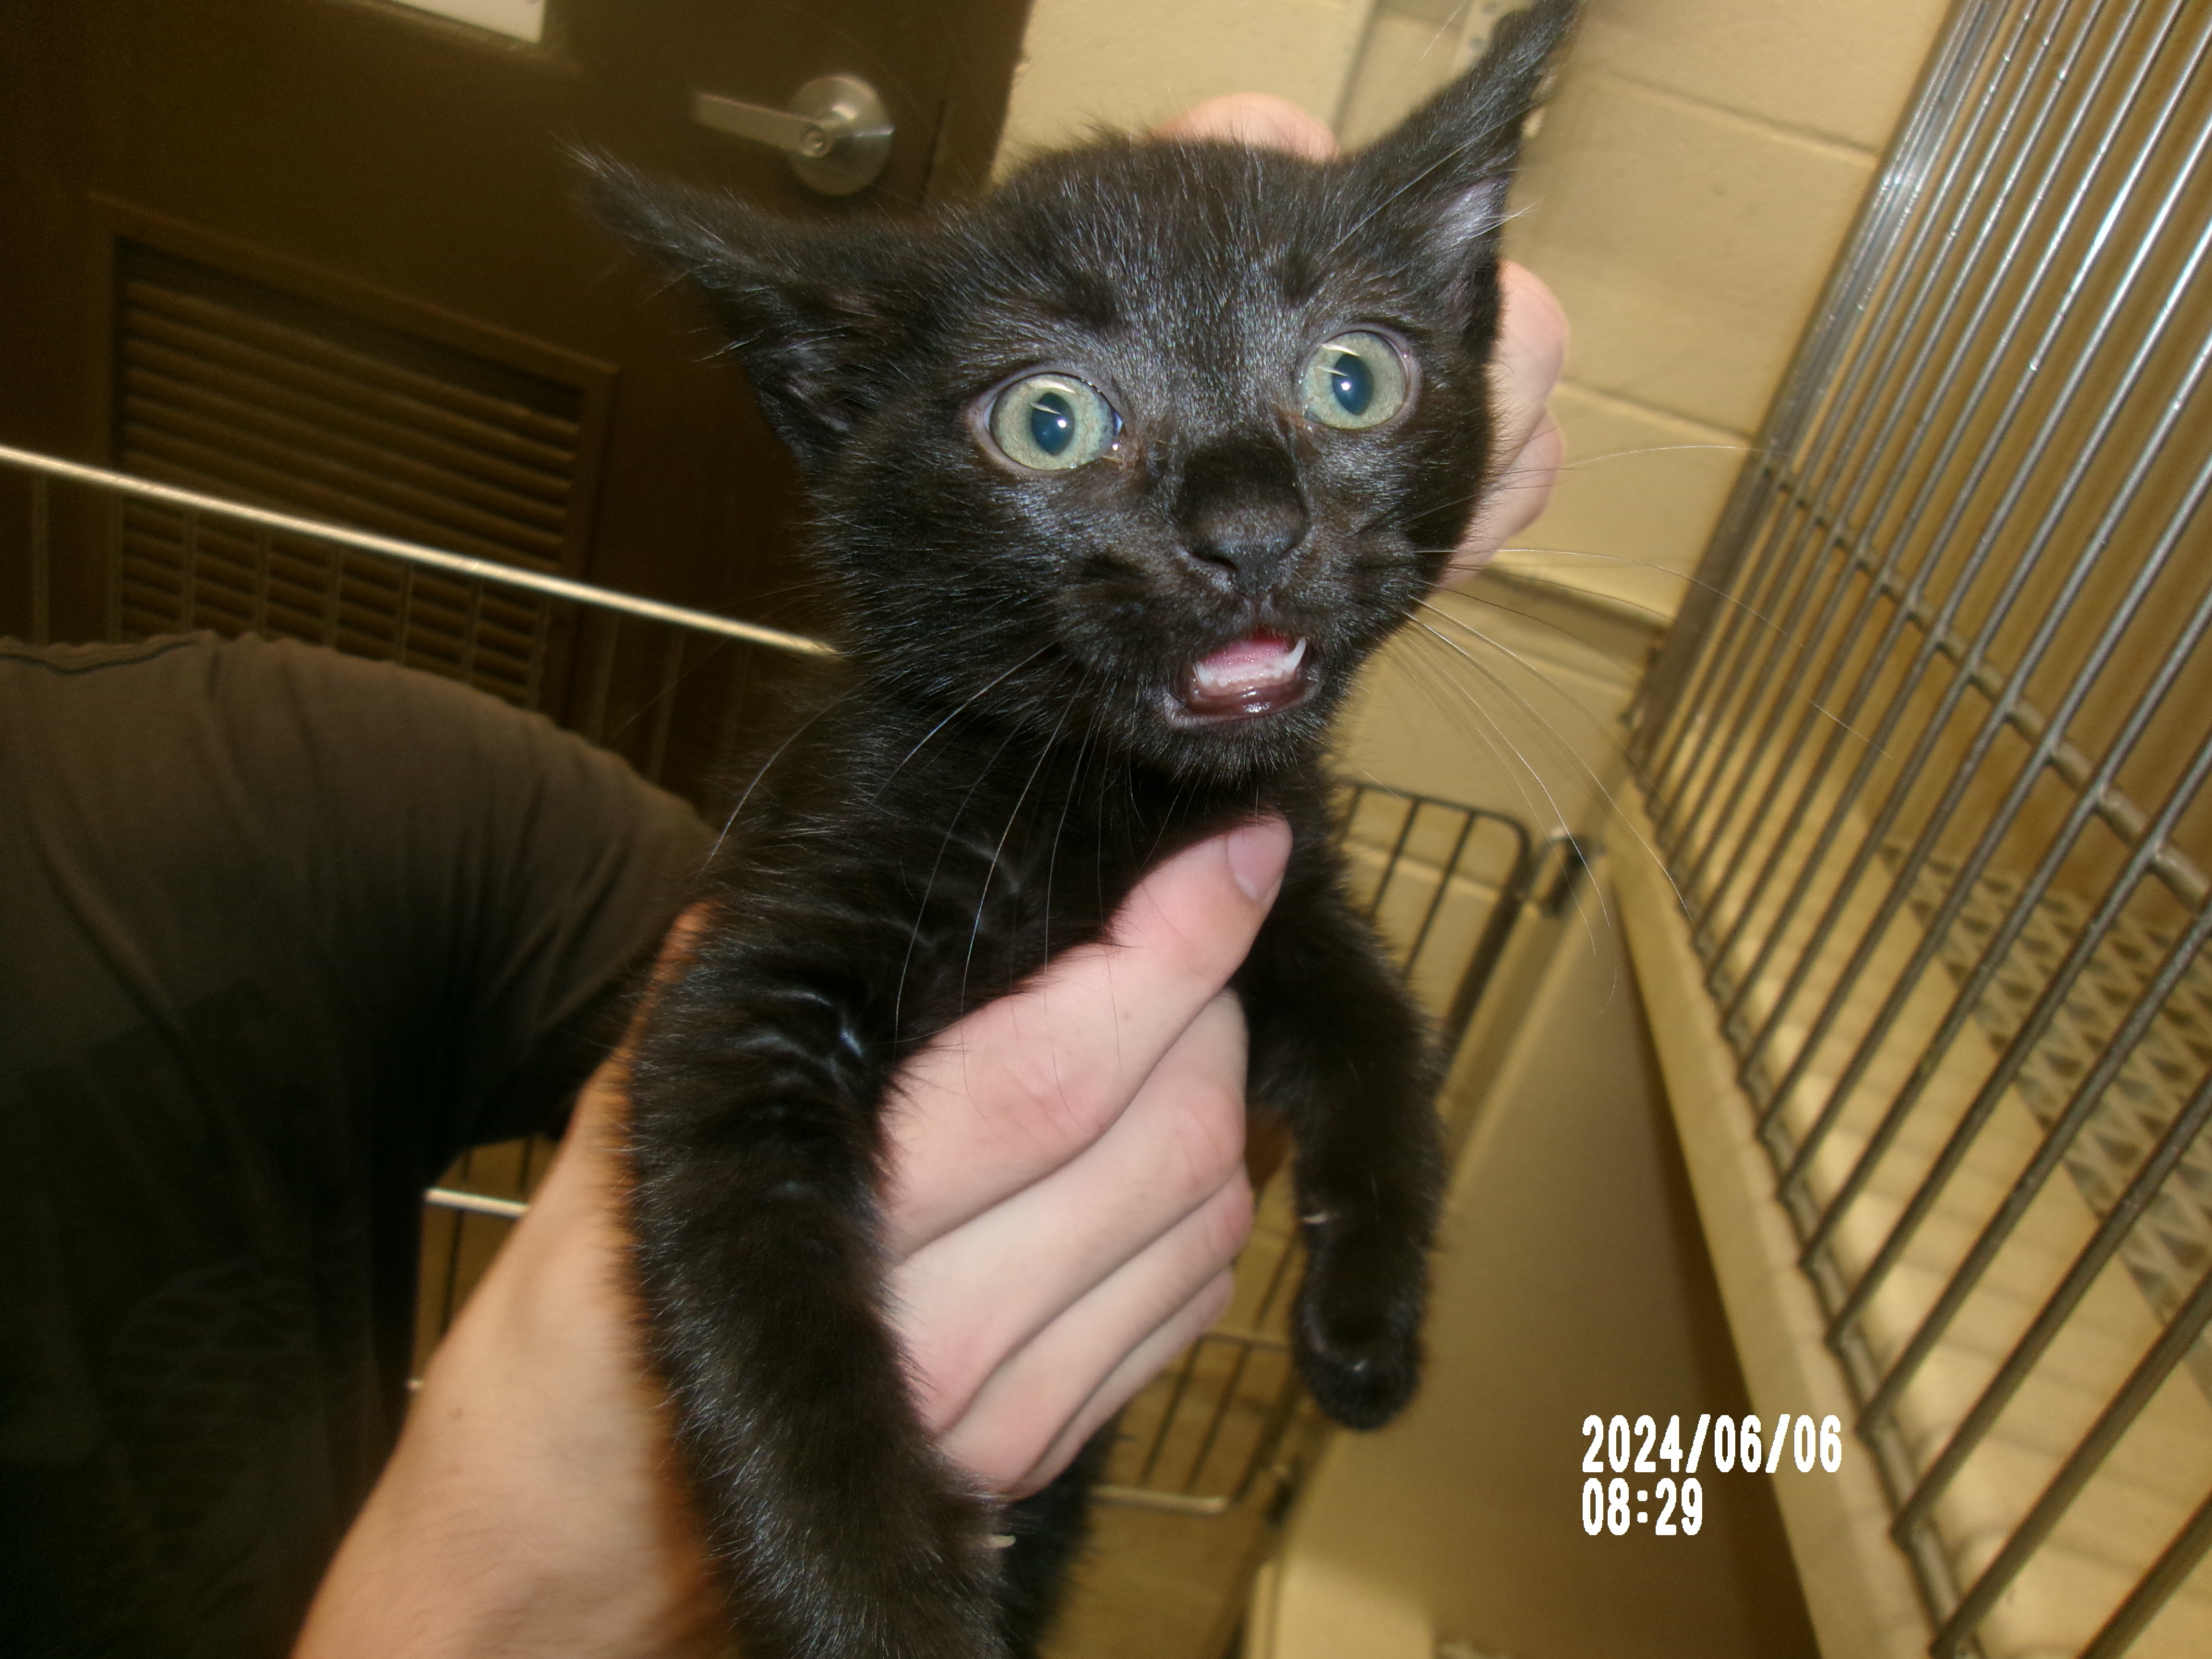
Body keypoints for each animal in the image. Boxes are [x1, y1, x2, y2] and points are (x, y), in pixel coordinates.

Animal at [597, 6, 1584, 1654]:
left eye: (1354, 382)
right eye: (1049, 421)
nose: (1250, 530)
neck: (1110, 805)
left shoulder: (1277, 880)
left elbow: (1385, 1032)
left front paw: (1369, 1325)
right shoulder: (763, 974)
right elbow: (765, 1320)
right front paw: (873, 1607)